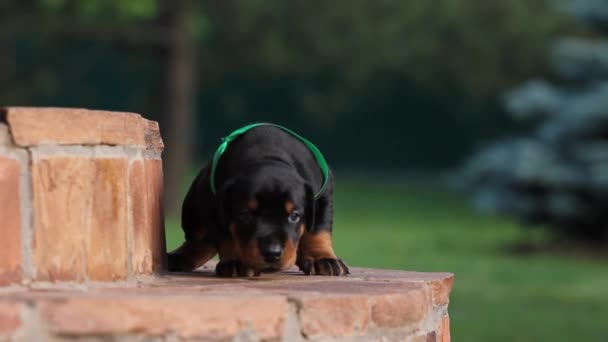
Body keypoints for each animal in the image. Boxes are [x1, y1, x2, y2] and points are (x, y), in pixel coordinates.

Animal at [166, 124, 350, 276]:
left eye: (294, 216)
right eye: (245, 214)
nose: (272, 253)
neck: (267, 156)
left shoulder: (322, 193)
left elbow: (318, 230)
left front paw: (322, 258)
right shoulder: (210, 198)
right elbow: (225, 234)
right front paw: (235, 260)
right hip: (192, 206)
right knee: (200, 239)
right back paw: (179, 257)